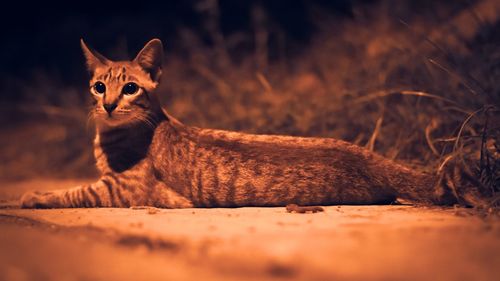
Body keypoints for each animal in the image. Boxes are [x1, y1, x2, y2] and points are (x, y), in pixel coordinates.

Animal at [19, 37, 470, 208]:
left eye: (130, 88)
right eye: (98, 87)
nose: (110, 104)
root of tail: (371, 157)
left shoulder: (118, 190)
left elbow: (73, 193)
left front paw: (34, 196)